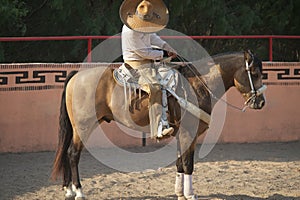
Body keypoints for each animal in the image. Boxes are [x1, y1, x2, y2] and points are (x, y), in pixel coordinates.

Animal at [51, 49, 264, 198]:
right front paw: (190, 194)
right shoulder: (189, 133)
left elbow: (179, 163)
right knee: (73, 154)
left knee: (67, 153)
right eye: (254, 73)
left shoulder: (182, 135)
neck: (197, 85)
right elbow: (188, 163)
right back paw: (78, 191)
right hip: (83, 127)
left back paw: (68, 190)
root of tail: (76, 76)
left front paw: (179, 193)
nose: (261, 102)